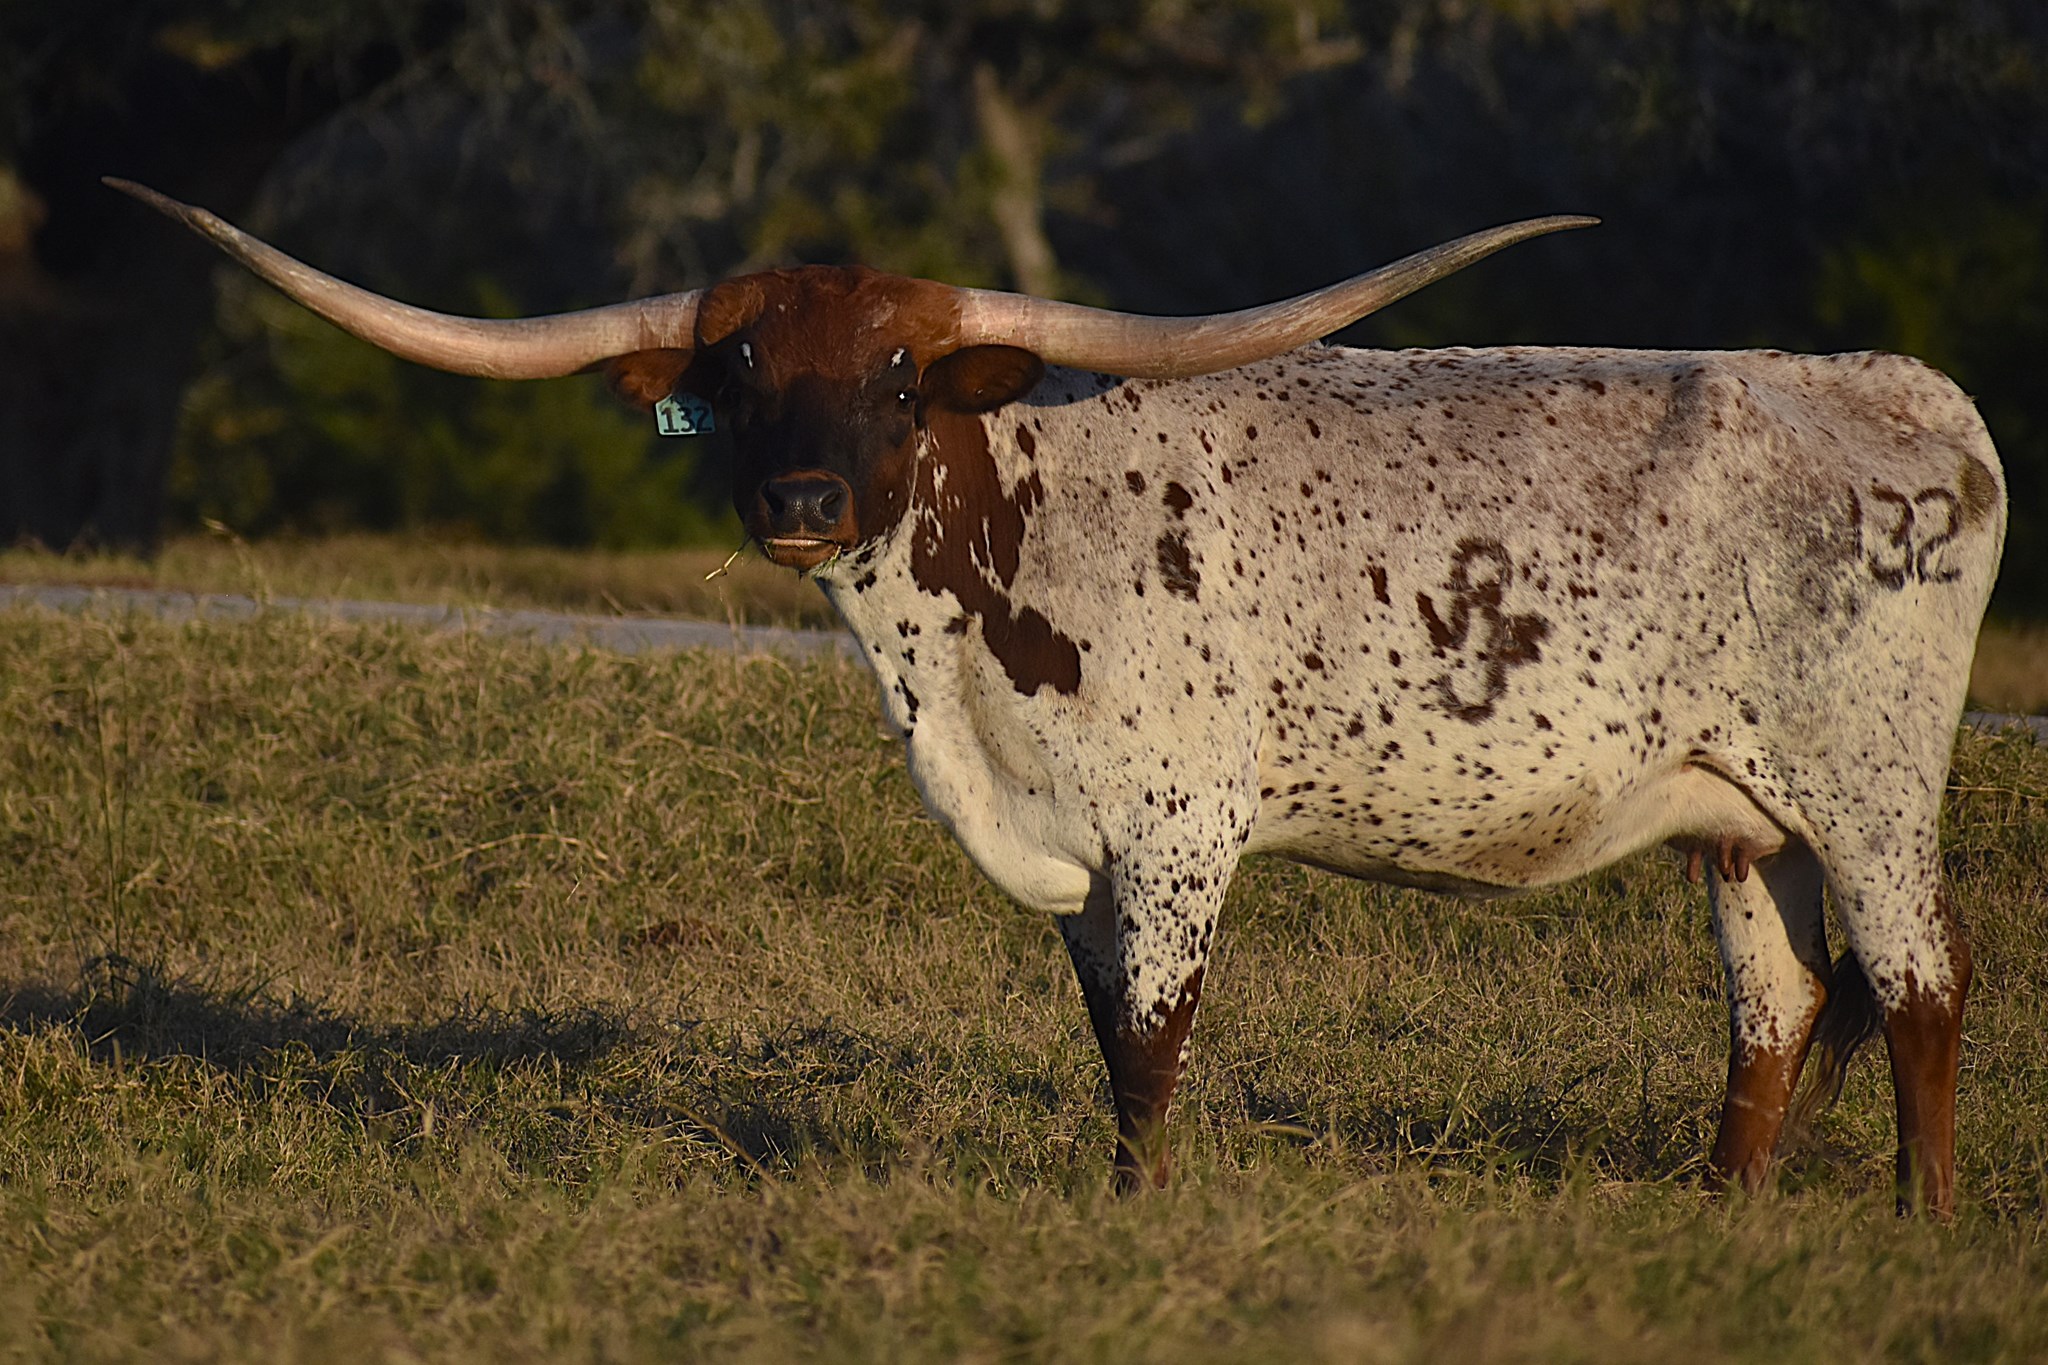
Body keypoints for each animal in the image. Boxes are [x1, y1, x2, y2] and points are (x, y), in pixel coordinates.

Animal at [110, 177, 2006, 1216]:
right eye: (740, 366)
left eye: (896, 370)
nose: (798, 499)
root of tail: (1913, 397)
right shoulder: (1077, 853)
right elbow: (1103, 1034)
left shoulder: (1175, 831)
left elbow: (1154, 1043)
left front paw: (1146, 1213)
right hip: (1738, 817)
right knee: (1776, 1009)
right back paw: (1725, 1215)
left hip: (1868, 787)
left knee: (1918, 986)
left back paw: (1922, 1227)